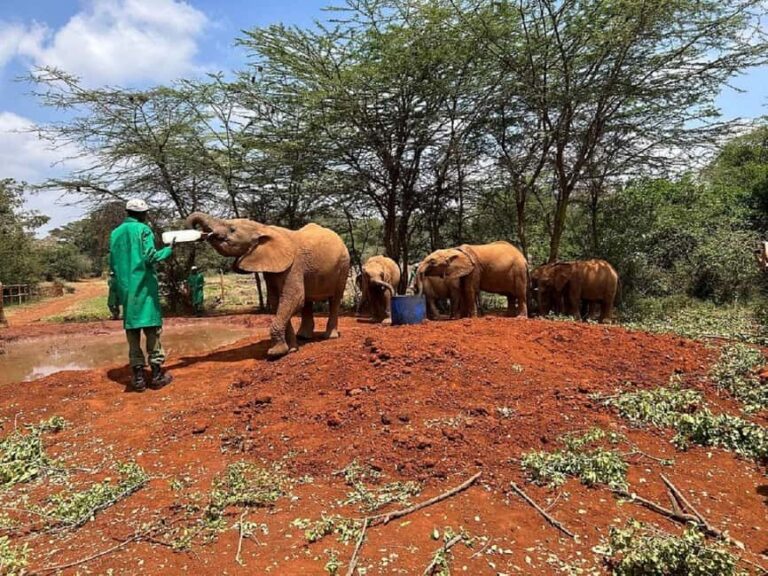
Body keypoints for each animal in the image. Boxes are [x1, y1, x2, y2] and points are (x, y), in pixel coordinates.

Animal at [187, 212, 350, 358]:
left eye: (232, 229)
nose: (197, 233)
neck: (262, 228)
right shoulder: (272, 269)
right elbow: (277, 301)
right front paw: (291, 350)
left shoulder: (294, 265)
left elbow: (293, 298)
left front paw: (275, 353)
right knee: (308, 301)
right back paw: (304, 337)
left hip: (344, 265)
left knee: (335, 299)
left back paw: (330, 337)